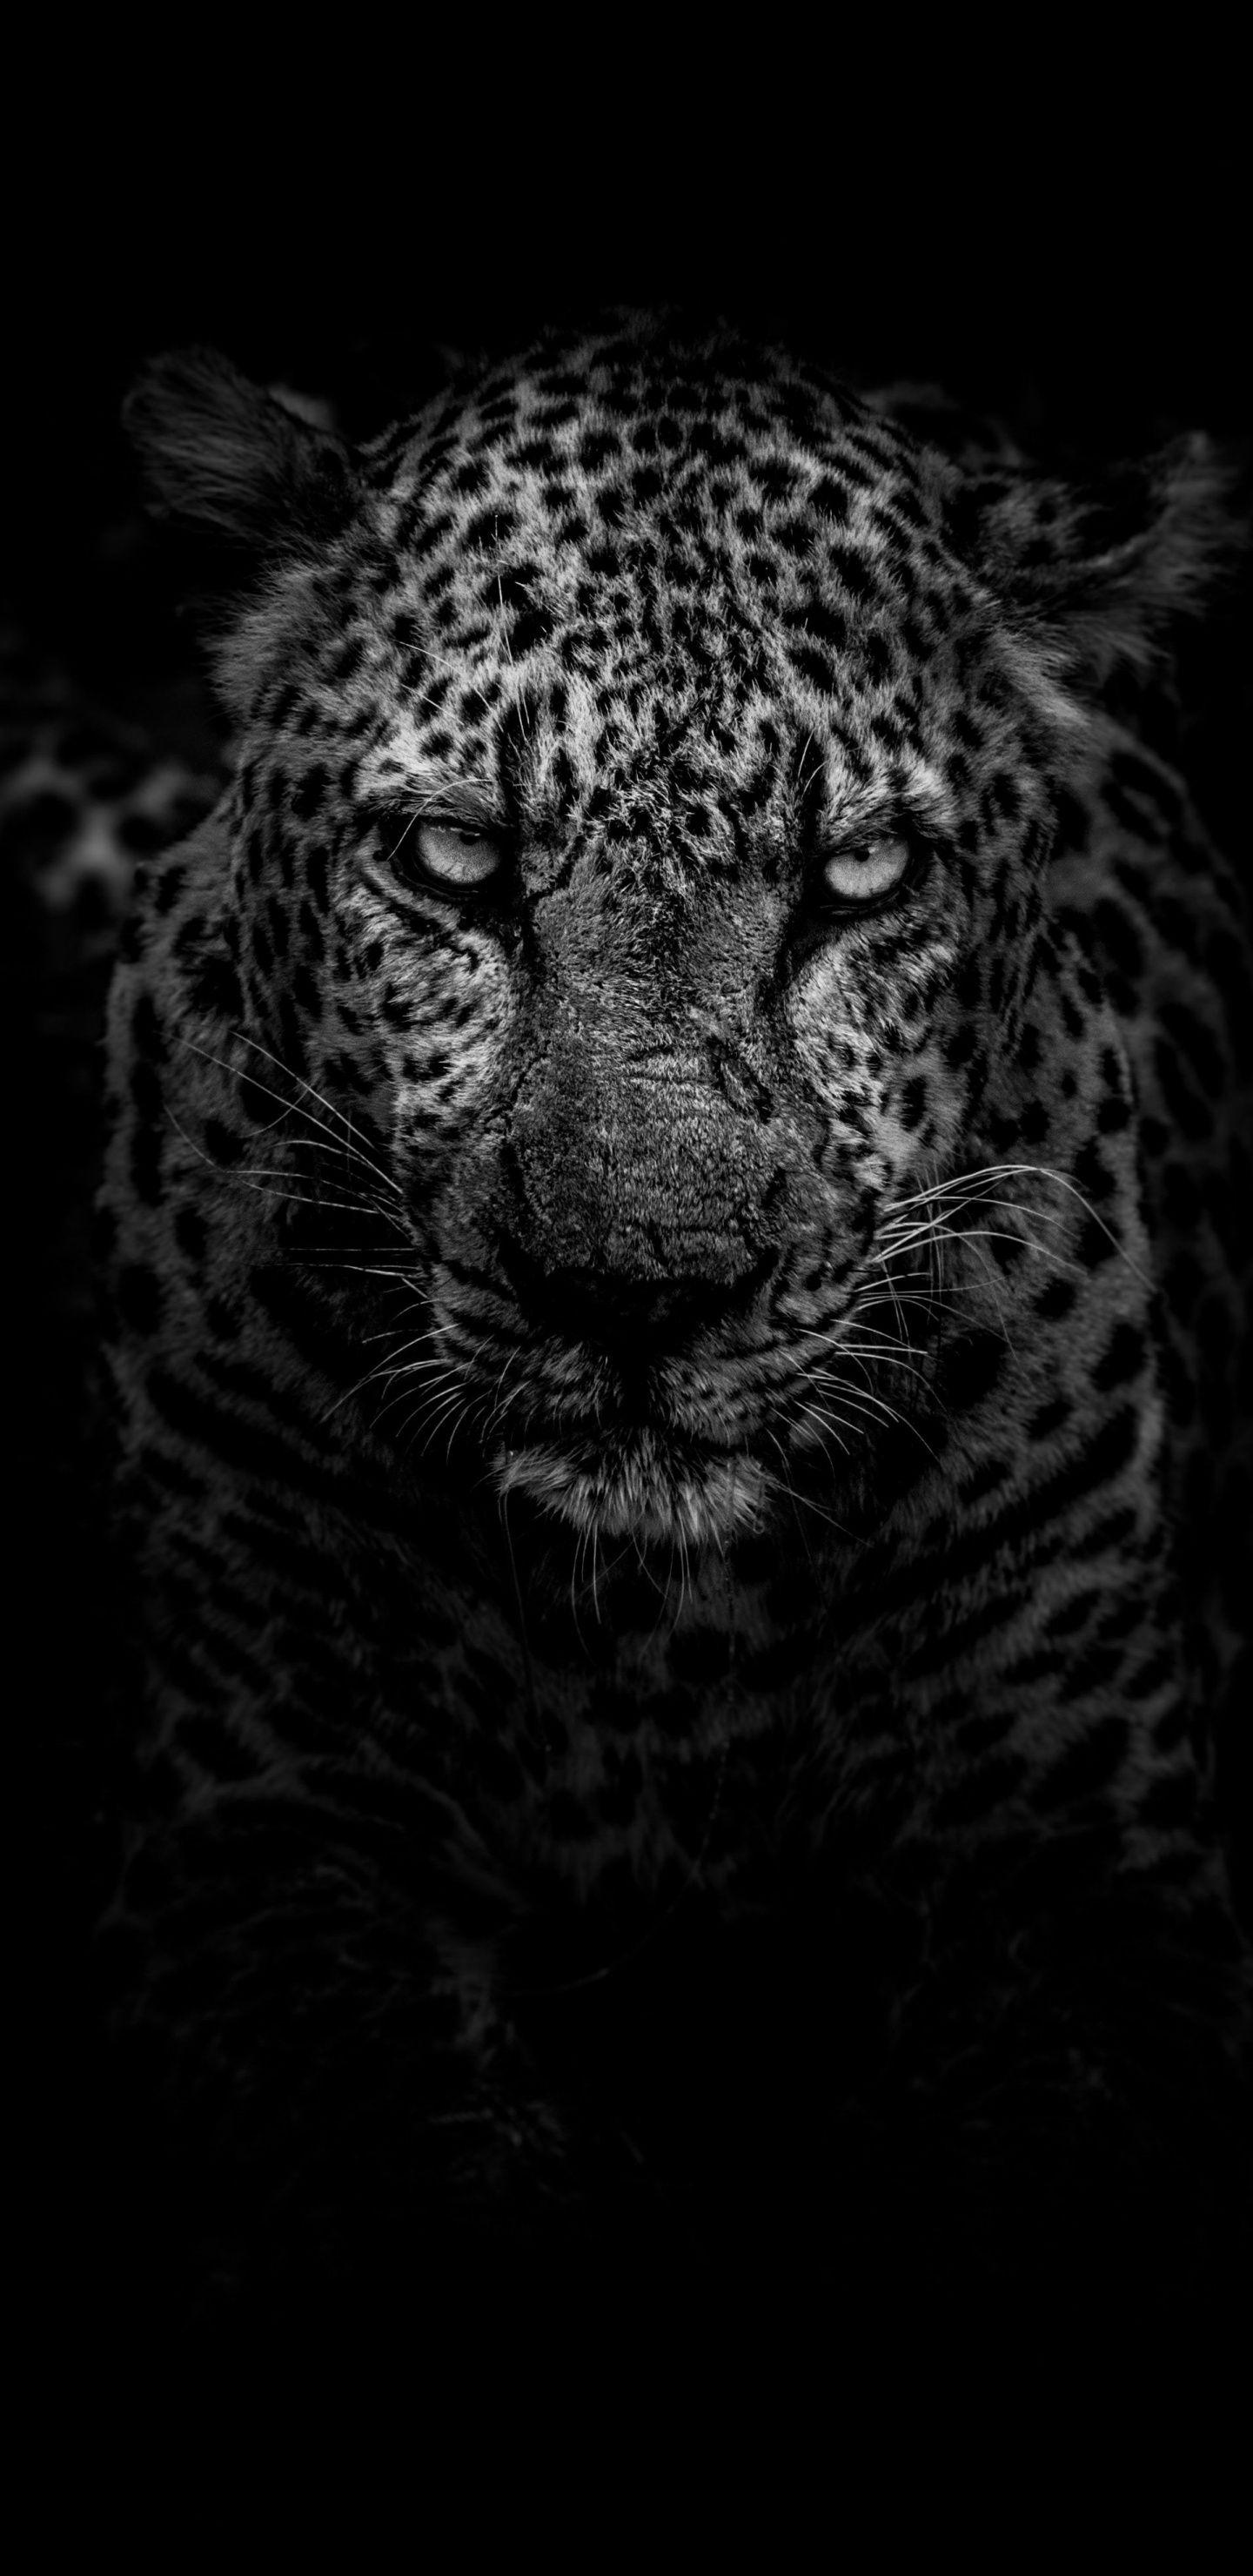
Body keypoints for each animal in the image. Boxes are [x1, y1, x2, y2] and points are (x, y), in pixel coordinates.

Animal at [72, 312, 1251, 2342]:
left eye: (860, 878)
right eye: (453, 858)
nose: (639, 1288)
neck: (657, 1630)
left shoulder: (1085, 1866)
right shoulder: (264, 1842)